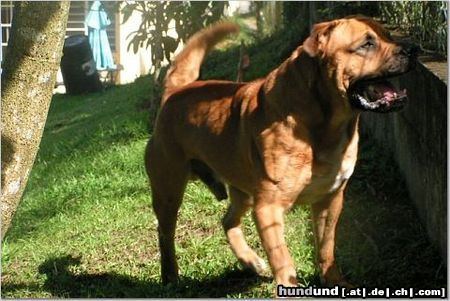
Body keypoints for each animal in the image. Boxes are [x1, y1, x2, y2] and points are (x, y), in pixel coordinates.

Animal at [147, 17, 418, 288]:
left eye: (387, 36)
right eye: (367, 44)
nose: (412, 49)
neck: (323, 126)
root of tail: (175, 92)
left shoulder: (330, 200)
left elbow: (326, 248)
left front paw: (334, 281)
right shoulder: (269, 208)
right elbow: (284, 261)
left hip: (243, 193)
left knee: (228, 220)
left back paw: (251, 261)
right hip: (169, 192)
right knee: (165, 233)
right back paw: (170, 275)